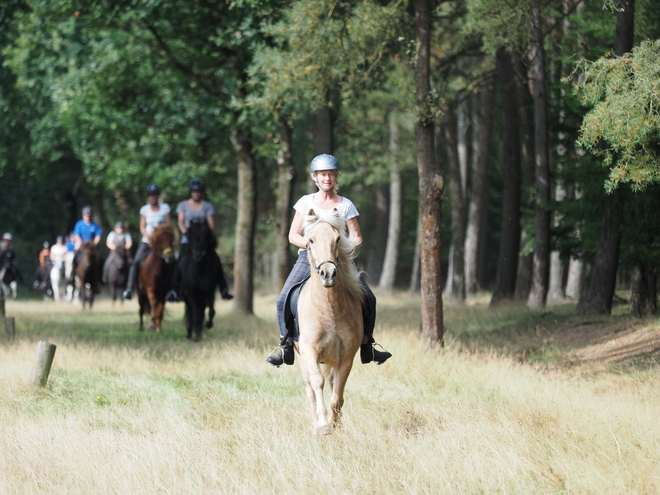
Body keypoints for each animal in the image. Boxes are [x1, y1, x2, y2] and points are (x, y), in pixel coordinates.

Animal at [296, 211, 364, 436]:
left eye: (338, 239)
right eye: (310, 240)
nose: (328, 274)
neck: (328, 309)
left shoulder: (347, 357)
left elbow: (337, 396)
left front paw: (335, 425)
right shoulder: (309, 350)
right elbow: (318, 383)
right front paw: (323, 425)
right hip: (301, 359)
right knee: (310, 388)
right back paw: (315, 423)